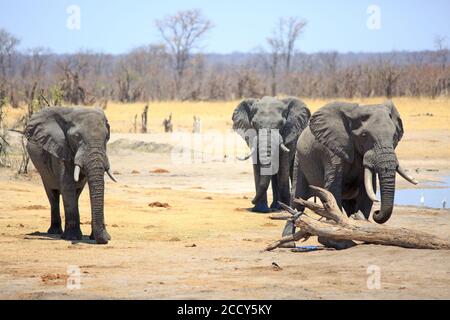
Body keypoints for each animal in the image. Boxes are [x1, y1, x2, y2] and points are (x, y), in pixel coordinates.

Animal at [24, 106, 117, 244]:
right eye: (76, 137)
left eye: (106, 137)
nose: (105, 240)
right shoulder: (60, 148)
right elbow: (67, 186)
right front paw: (72, 238)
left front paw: (98, 237)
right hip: (43, 173)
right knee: (53, 195)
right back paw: (55, 232)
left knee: (76, 193)